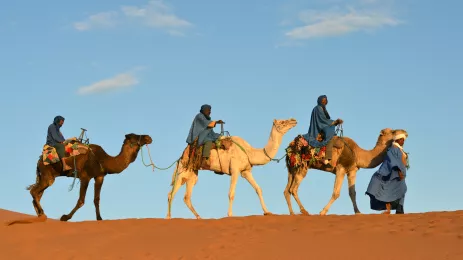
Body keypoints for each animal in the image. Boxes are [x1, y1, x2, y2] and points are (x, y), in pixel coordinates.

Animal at [24, 133, 152, 222]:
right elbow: (81, 200)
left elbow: (97, 199)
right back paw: (42, 213)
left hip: (45, 177)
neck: (103, 160)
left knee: (37, 194)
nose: (148, 137)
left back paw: (40, 215)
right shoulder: (85, 177)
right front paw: (65, 217)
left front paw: (100, 218)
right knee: (34, 191)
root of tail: (39, 161)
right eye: (134, 136)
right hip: (47, 175)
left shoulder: (99, 176)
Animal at [166, 118, 298, 219]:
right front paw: (230, 214)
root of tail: (181, 156)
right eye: (282, 122)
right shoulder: (235, 170)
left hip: (192, 173)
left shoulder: (246, 171)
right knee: (171, 194)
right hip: (184, 171)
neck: (249, 152)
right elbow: (231, 193)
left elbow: (258, 189)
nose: (294, 120)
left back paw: (199, 217)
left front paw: (267, 211)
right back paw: (168, 217)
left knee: (186, 196)